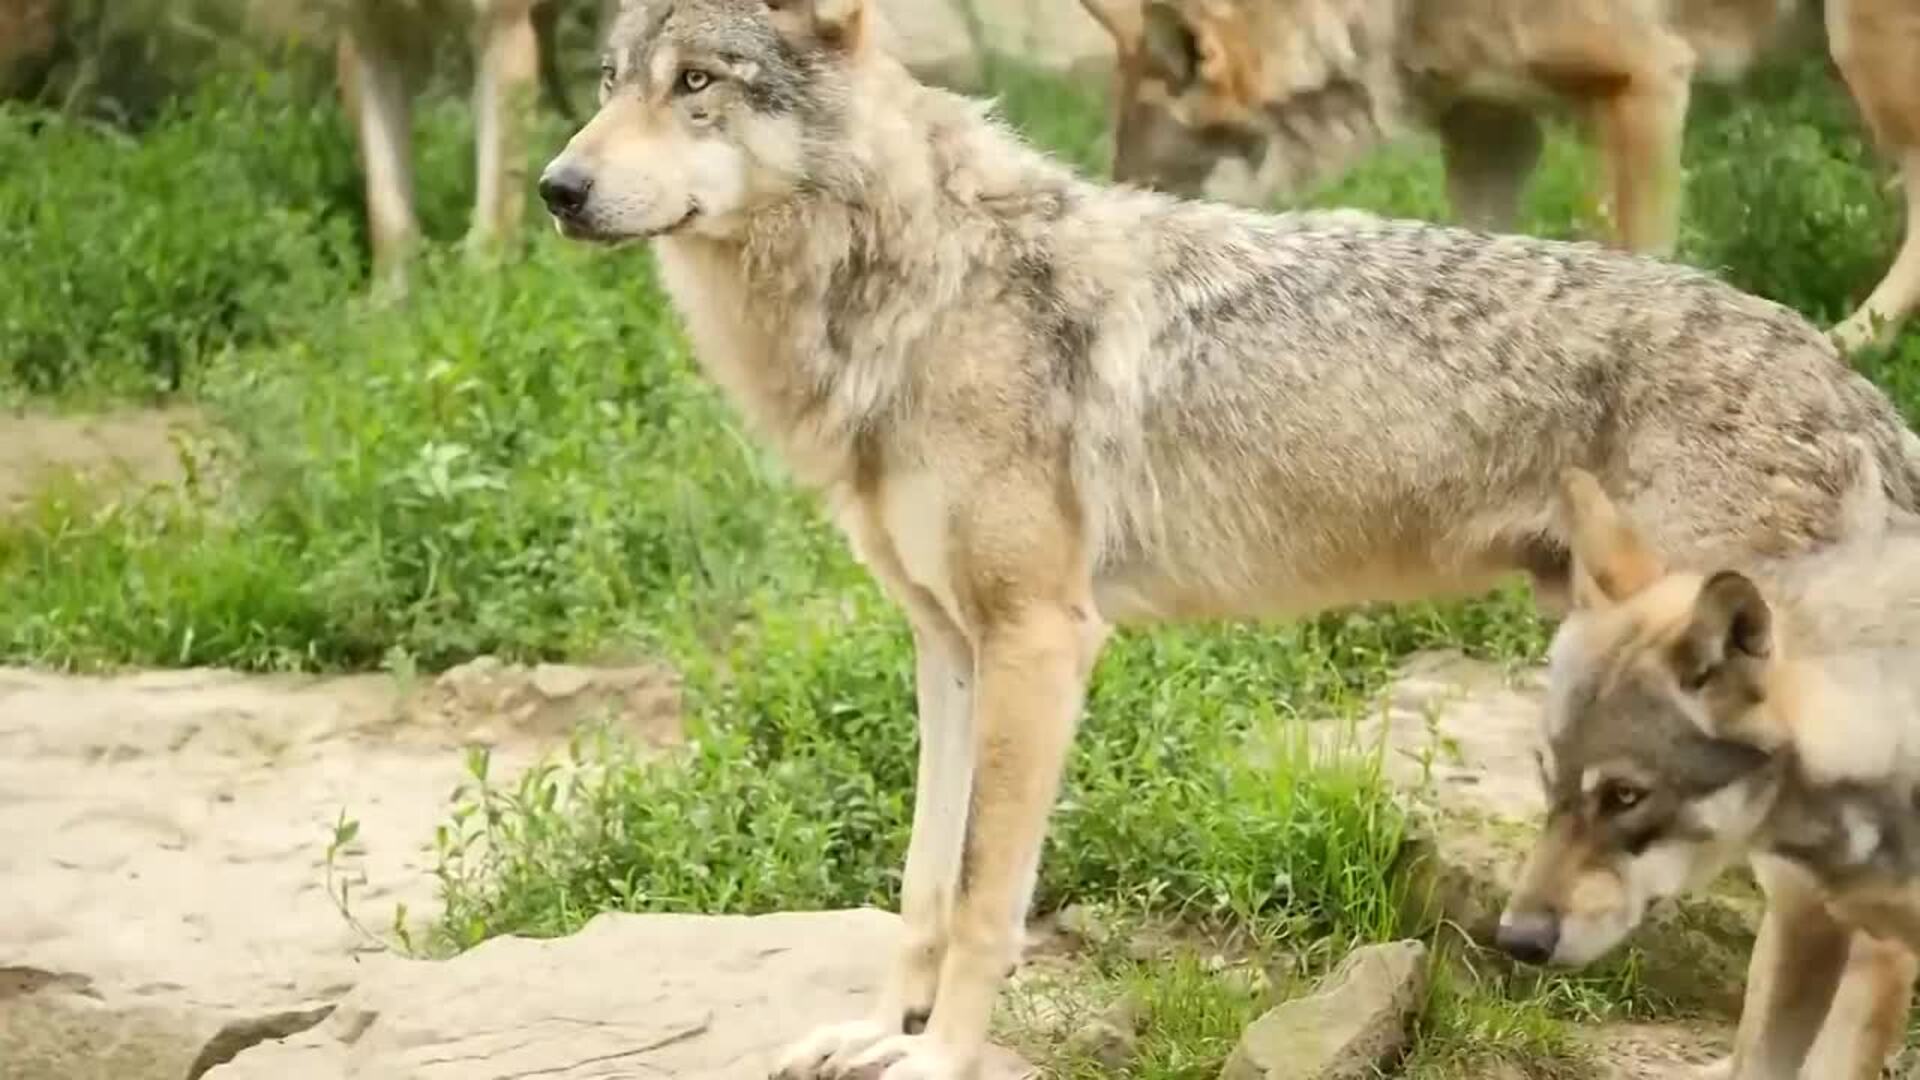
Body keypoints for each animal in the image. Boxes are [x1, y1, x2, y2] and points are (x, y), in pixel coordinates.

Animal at [1076, 0, 1920, 350]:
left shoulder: (1643, 84)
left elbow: (1642, 260)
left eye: (1153, 195)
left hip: (1864, 54)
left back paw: (1849, 342)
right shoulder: (1489, 129)